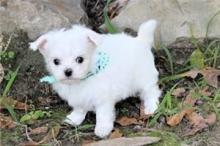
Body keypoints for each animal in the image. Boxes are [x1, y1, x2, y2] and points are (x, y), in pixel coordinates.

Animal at [29, 19, 160, 138]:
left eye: (80, 59)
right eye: (56, 61)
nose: (68, 71)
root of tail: (140, 40)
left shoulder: (103, 99)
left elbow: (102, 115)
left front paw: (102, 129)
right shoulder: (78, 98)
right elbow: (79, 109)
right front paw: (75, 118)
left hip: (144, 78)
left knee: (151, 91)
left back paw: (151, 106)